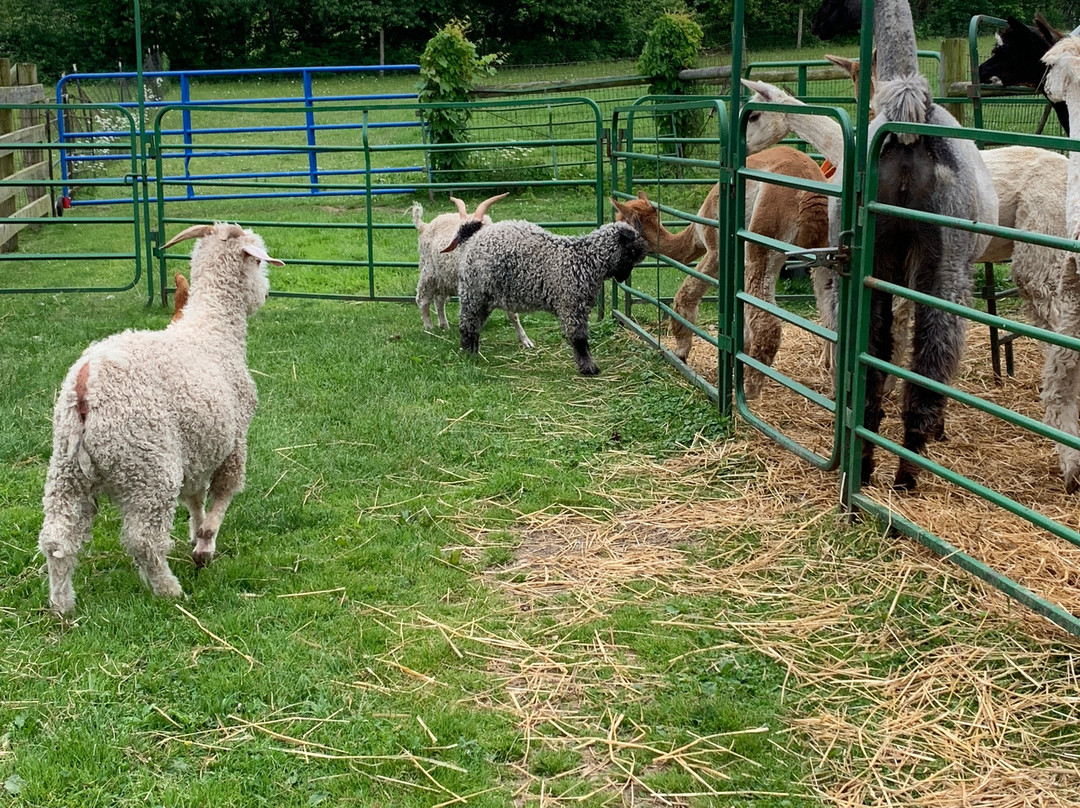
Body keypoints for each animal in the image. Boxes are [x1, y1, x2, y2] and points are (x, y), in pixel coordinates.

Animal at [37, 221, 280, 613]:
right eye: (257, 261)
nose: (266, 293)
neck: (213, 328)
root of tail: (85, 387)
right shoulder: (233, 439)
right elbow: (223, 494)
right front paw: (205, 546)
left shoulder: (195, 448)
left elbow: (194, 497)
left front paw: (196, 533)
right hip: (148, 466)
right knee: (143, 539)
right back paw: (169, 589)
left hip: (66, 467)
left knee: (57, 539)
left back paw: (62, 604)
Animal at [442, 216, 643, 378]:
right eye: (632, 251)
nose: (623, 277)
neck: (584, 260)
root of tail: (470, 239)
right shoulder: (571, 306)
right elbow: (579, 340)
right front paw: (589, 367)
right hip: (473, 293)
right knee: (467, 323)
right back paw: (468, 353)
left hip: (484, 298)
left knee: (475, 325)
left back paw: (473, 352)